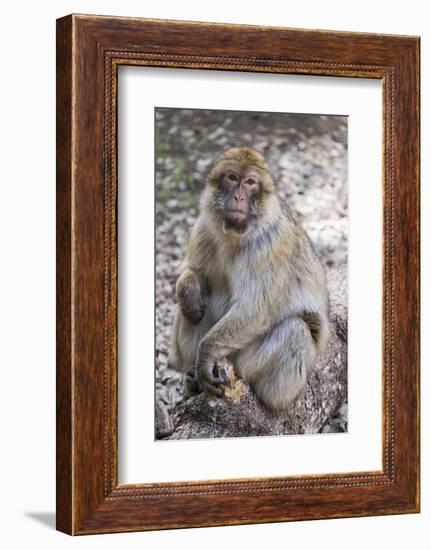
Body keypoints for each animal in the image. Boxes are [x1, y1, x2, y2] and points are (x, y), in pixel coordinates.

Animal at [169, 147, 330, 414]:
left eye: (250, 182)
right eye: (232, 178)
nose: (239, 197)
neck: (234, 234)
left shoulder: (269, 246)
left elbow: (257, 310)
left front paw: (205, 355)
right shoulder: (202, 228)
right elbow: (197, 275)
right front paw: (187, 288)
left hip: (251, 364)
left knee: (296, 330)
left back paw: (266, 397)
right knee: (191, 311)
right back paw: (191, 378)